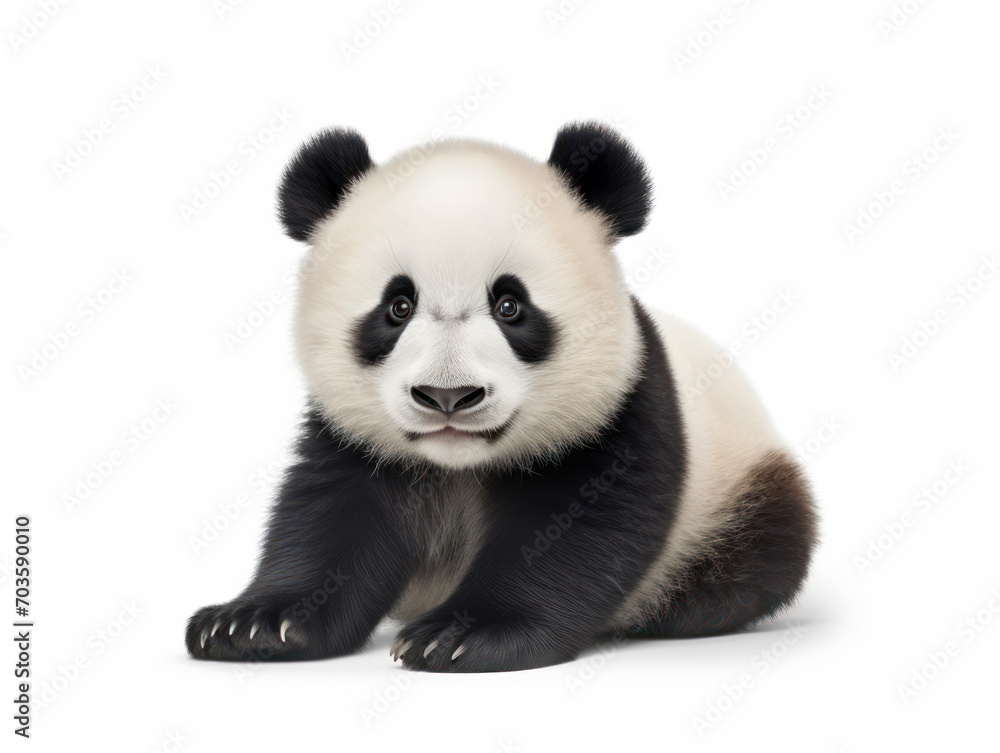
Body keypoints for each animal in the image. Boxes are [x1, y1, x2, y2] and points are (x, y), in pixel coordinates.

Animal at [186, 122, 818, 672]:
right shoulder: (353, 437)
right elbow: (331, 521)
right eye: (398, 306)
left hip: (739, 485)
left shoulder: (622, 406)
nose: (447, 395)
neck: (458, 464)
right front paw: (251, 623)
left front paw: (465, 635)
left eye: (511, 305)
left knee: (762, 548)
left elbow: (574, 534)